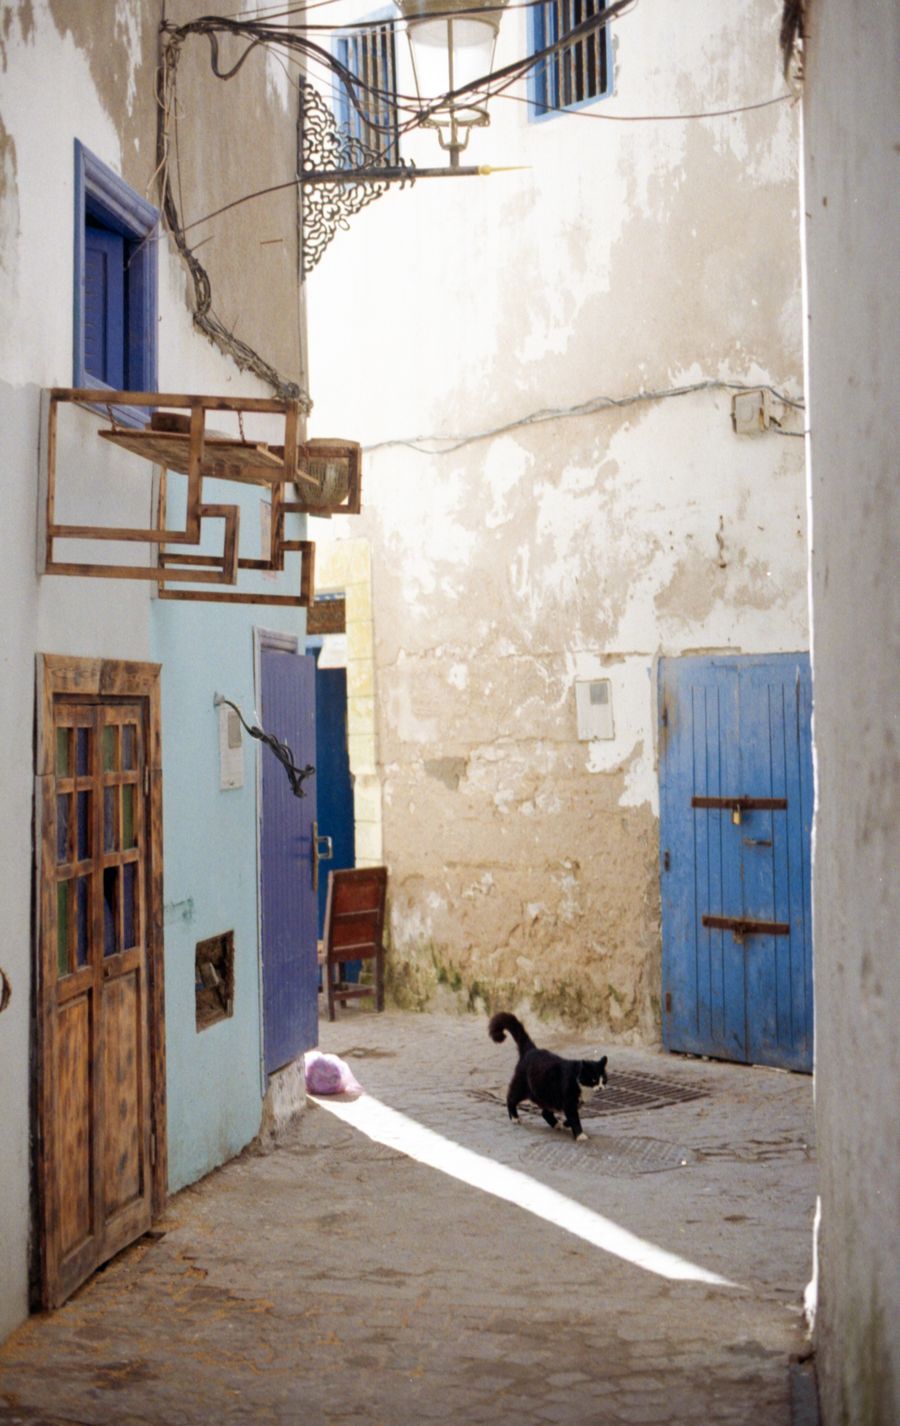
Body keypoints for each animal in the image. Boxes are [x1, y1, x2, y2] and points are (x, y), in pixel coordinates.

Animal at [488, 1012, 607, 1143]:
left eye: (603, 1080)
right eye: (594, 1079)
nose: (601, 1087)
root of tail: (531, 1050)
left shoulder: (573, 1103)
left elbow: (572, 1117)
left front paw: (565, 1124)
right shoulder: (569, 1101)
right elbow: (574, 1118)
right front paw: (580, 1135)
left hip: (547, 1095)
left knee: (545, 1112)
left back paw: (556, 1124)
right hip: (522, 1086)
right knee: (511, 1098)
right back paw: (514, 1117)